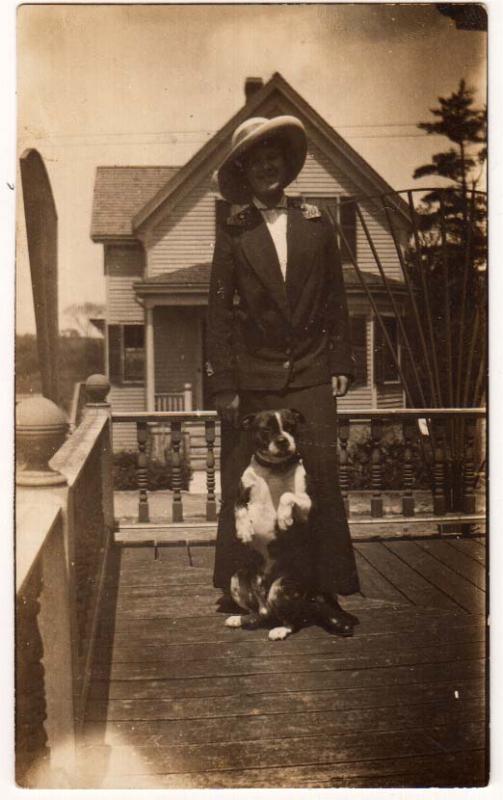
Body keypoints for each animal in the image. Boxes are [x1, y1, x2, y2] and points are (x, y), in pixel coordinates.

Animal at [226, 410, 332, 640]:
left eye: (290, 426)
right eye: (266, 430)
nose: (283, 440)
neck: (275, 468)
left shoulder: (308, 506)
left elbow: (287, 495)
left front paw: (283, 518)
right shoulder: (240, 495)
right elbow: (239, 510)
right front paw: (244, 530)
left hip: (281, 587)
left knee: (293, 621)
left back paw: (281, 629)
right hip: (237, 579)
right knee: (259, 613)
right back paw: (241, 618)